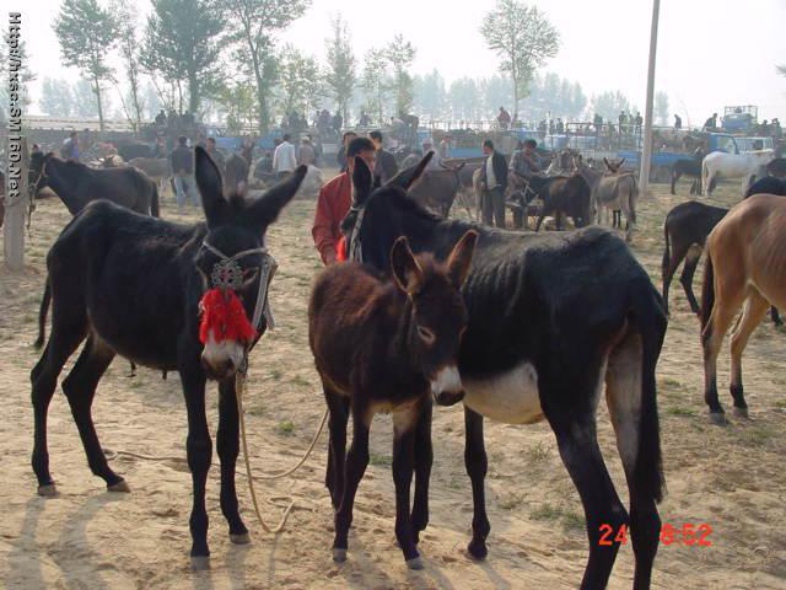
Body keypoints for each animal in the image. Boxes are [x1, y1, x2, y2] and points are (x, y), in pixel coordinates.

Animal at [308, 230, 478, 568]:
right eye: (424, 330)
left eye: (462, 327)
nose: (451, 393)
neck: (399, 361)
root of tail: (337, 267)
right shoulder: (363, 406)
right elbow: (357, 460)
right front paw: (340, 538)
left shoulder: (408, 411)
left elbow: (403, 468)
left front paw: (408, 544)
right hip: (330, 381)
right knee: (337, 433)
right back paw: (337, 495)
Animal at [700, 197, 784, 424]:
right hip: (730, 293)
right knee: (712, 339)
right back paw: (714, 404)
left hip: (758, 297)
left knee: (737, 339)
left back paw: (739, 399)